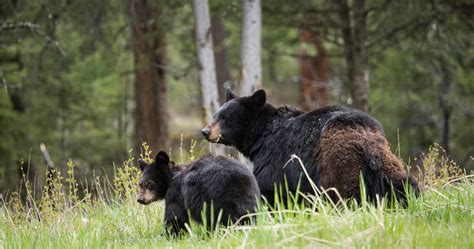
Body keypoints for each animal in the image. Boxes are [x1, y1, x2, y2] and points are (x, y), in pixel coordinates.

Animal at [202, 89, 420, 206]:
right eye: (216, 114)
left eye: (225, 117)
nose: (205, 131)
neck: (260, 135)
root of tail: (368, 144)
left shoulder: (275, 158)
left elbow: (270, 189)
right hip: (388, 166)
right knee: (406, 186)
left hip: (340, 167)